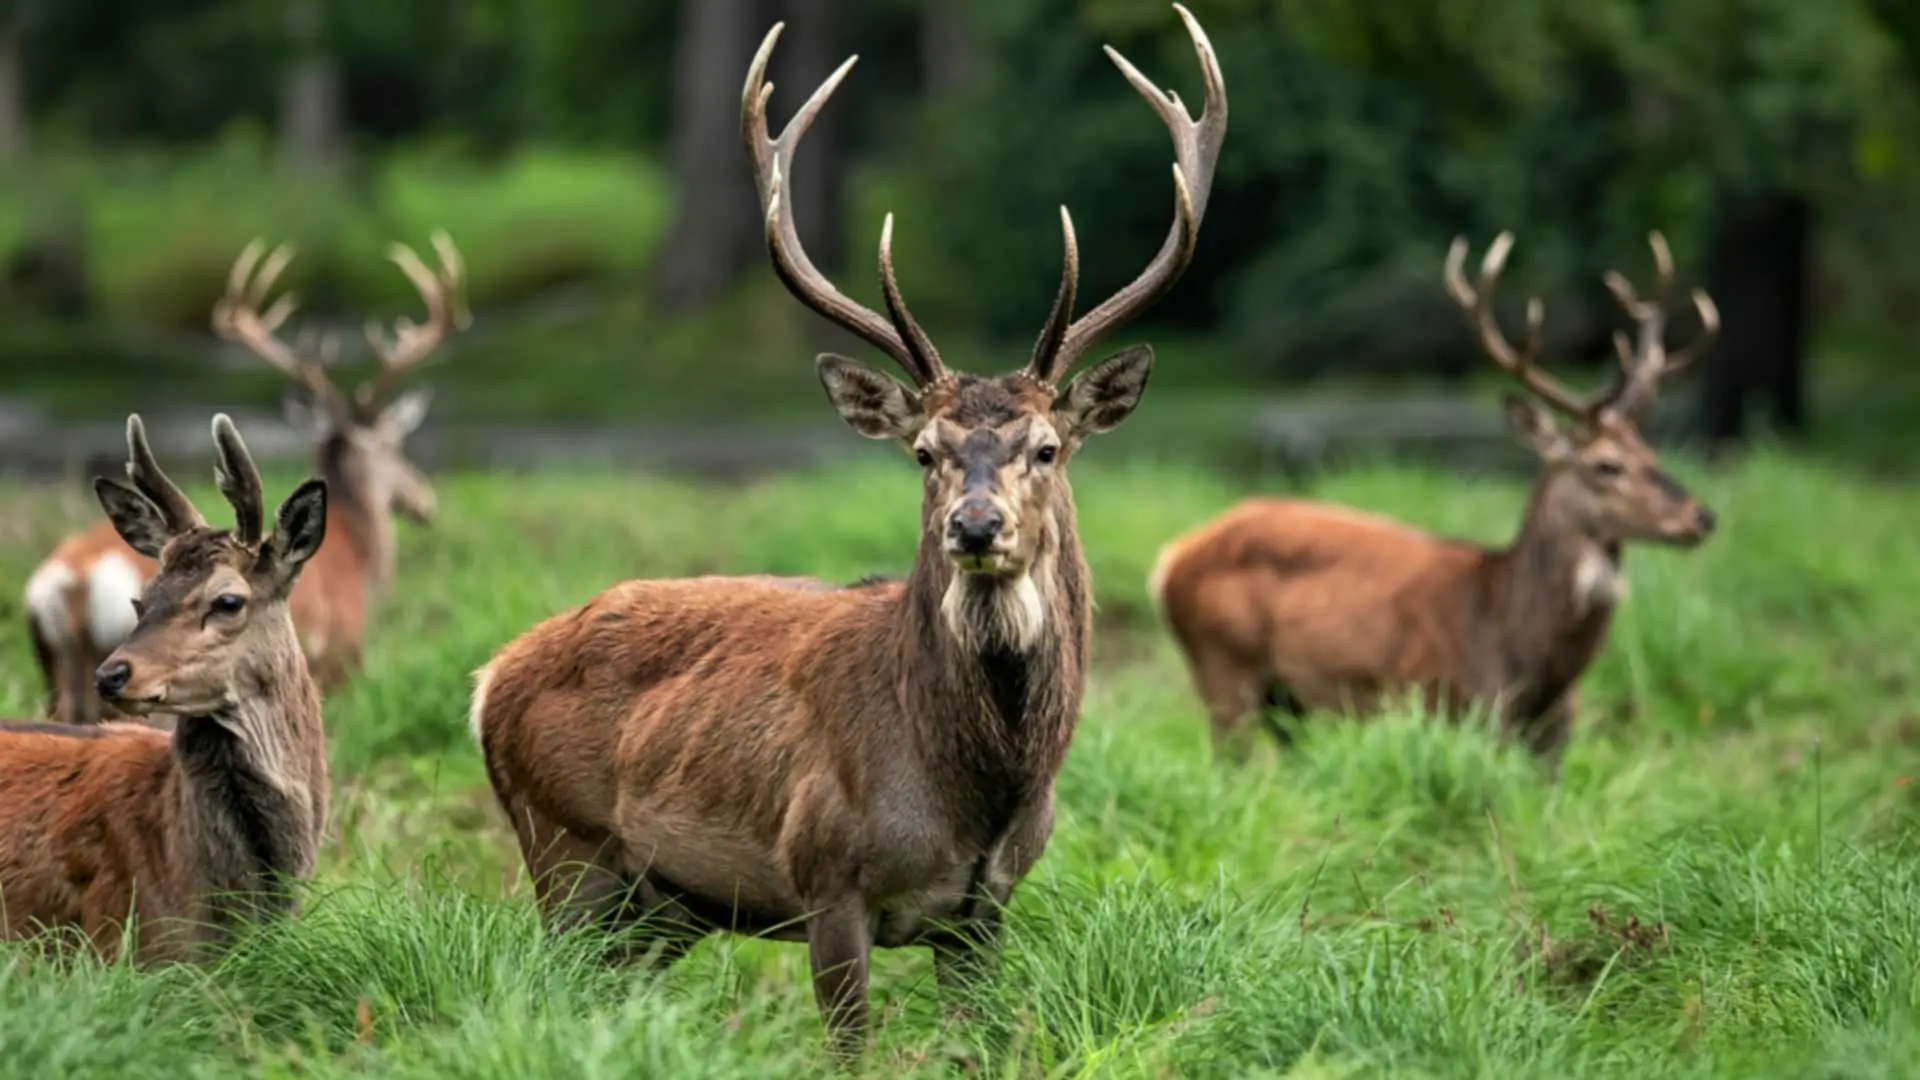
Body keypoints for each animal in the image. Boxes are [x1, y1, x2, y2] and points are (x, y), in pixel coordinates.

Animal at [22, 233, 466, 726]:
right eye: (397, 445)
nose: (425, 502)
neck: (357, 557)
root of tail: (73, 582)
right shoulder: (339, 664)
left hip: (56, 674)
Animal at [471, 3, 1225, 1057]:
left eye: (1045, 448)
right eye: (924, 452)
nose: (976, 525)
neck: (978, 791)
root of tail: (488, 678)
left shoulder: (986, 907)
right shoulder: (825, 879)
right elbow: (849, 1048)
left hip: (659, 906)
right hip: (565, 853)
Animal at [1149, 230, 1719, 771]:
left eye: (1651, 452)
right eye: (1606, 464)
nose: (1702, 516)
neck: (1523, 655)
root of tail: (1171, 558)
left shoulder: (1555, 733)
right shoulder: (1442, 703)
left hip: (1288, 701)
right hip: (1223, 666)